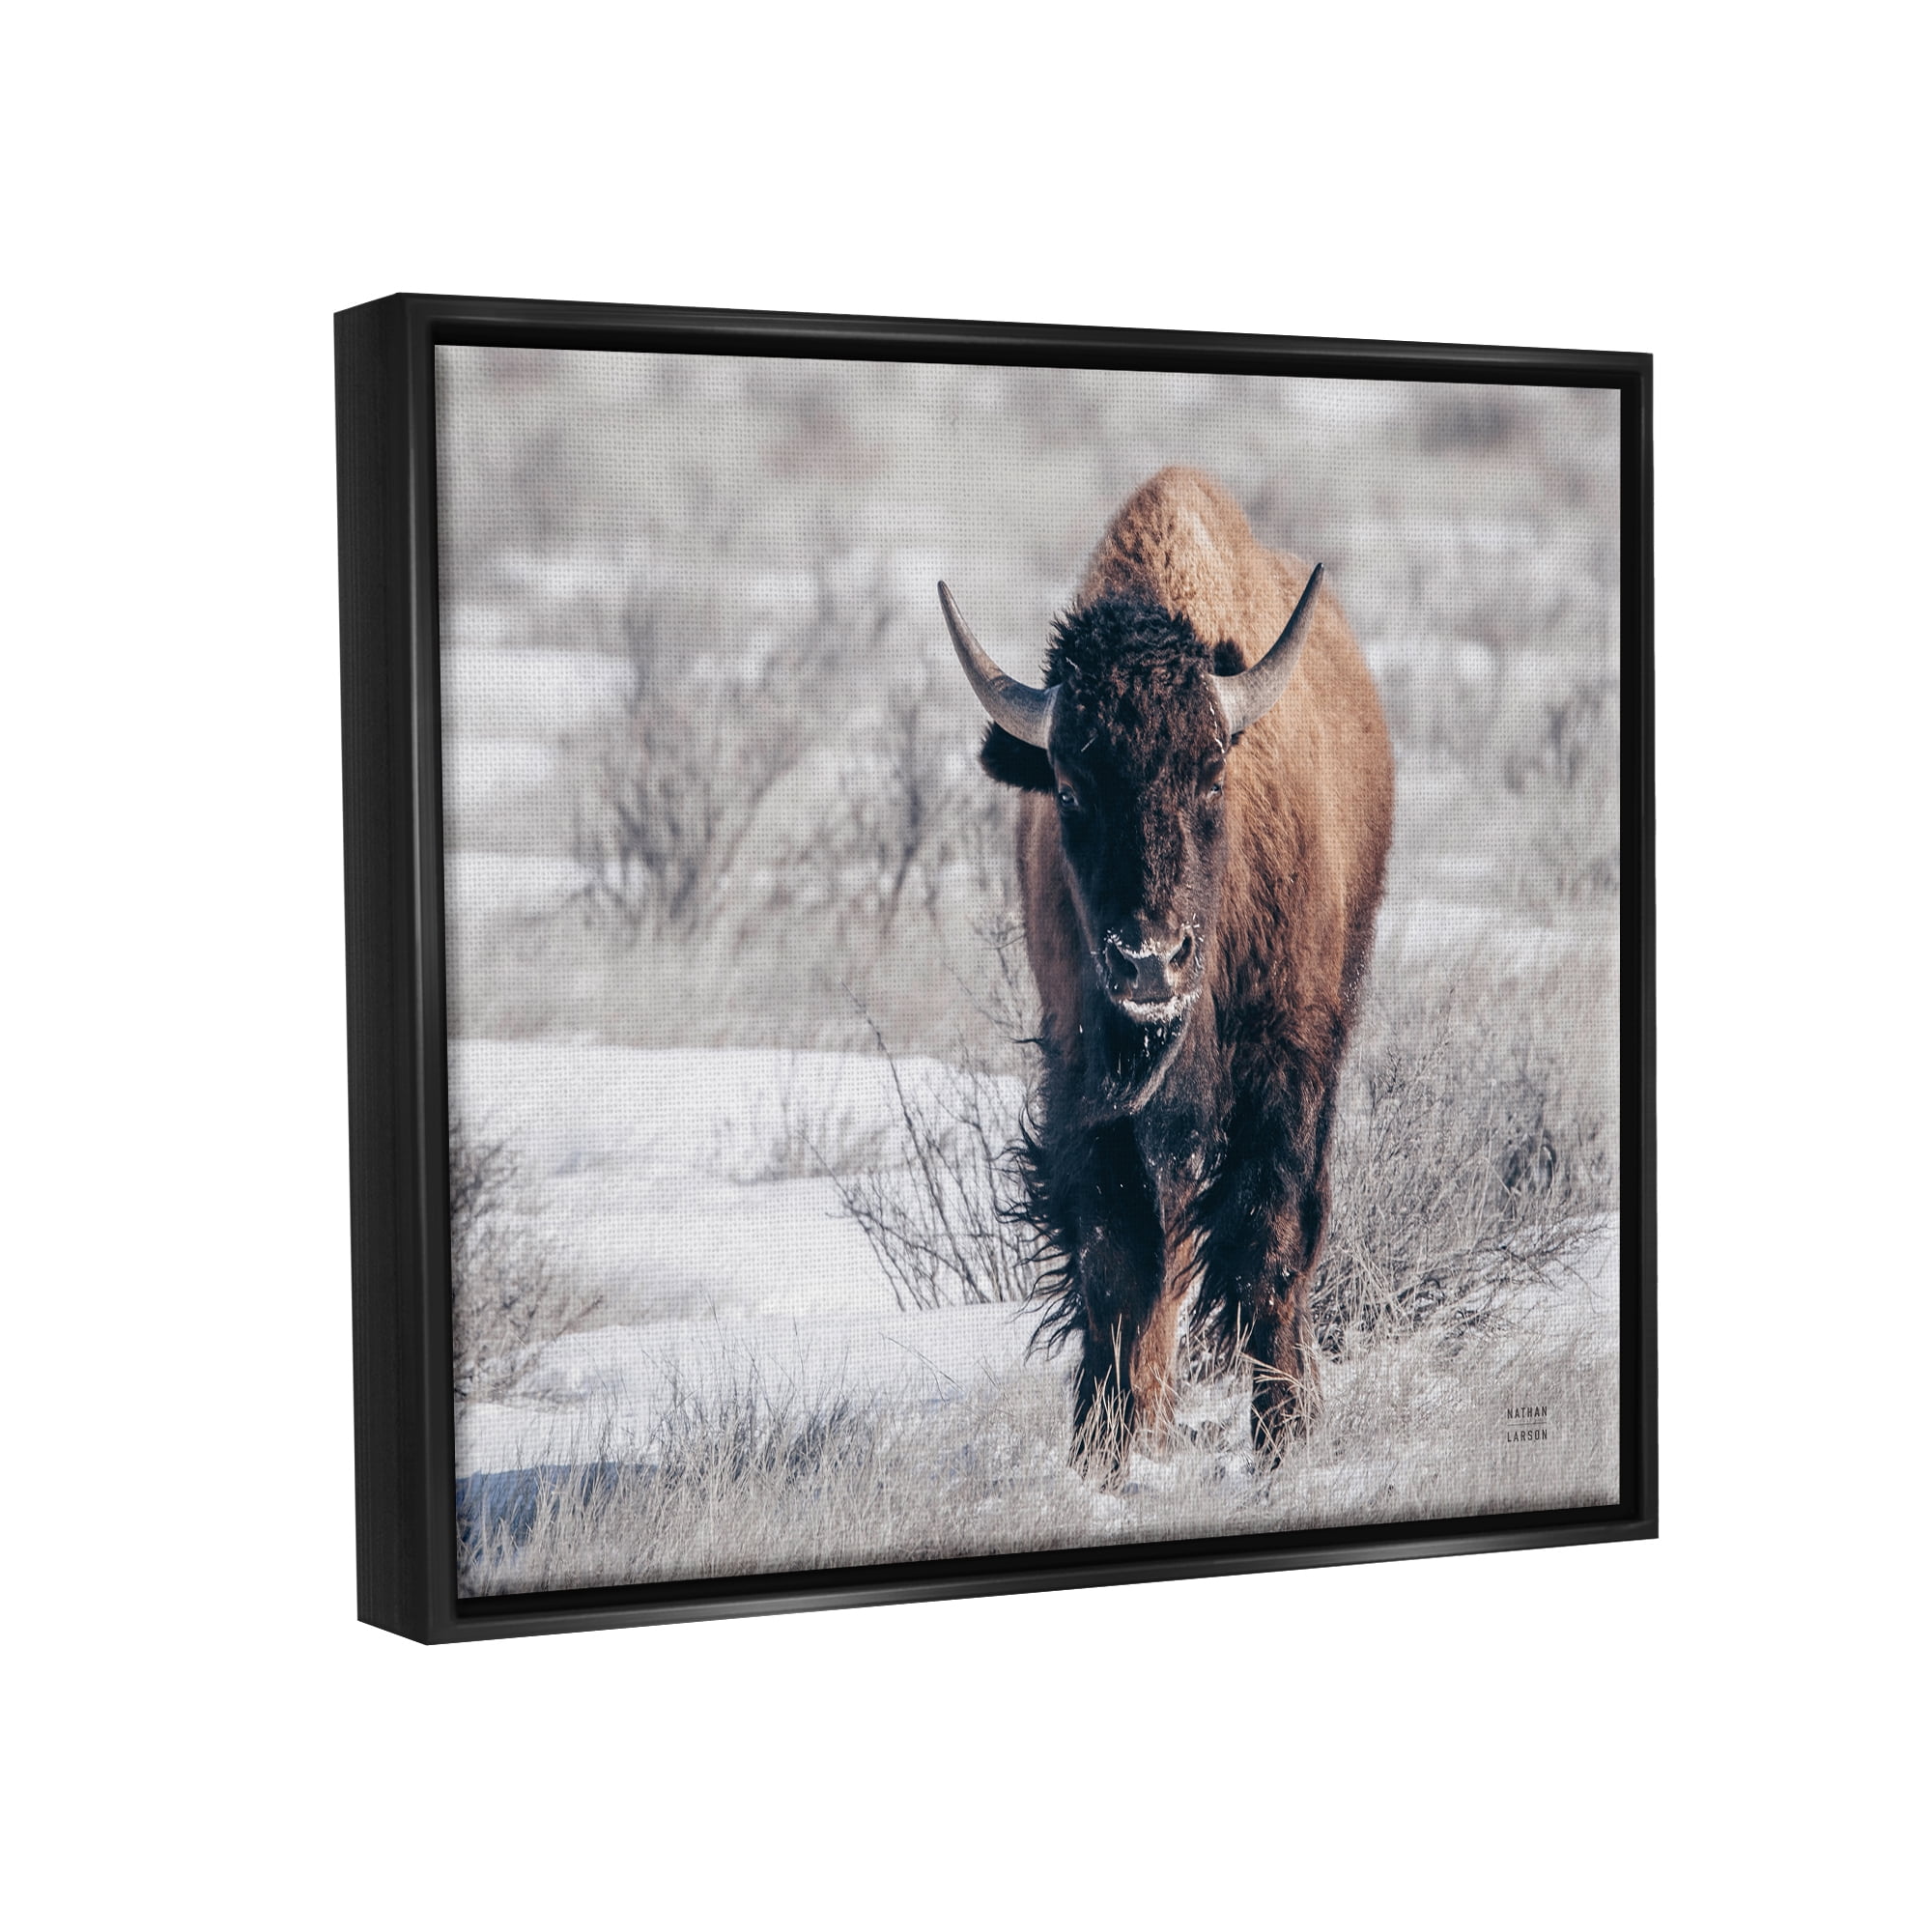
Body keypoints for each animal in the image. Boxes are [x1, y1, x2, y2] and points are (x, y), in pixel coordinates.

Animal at [941, 467, 1394, 1467]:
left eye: (1212, 776)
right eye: (1069, 790)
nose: (1150, 963)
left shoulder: (1287, 1065)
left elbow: (1268, 1243)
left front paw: (1283, 1437)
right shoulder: (1085, 1075)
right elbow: (1119, 1259)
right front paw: (1104, 1449)